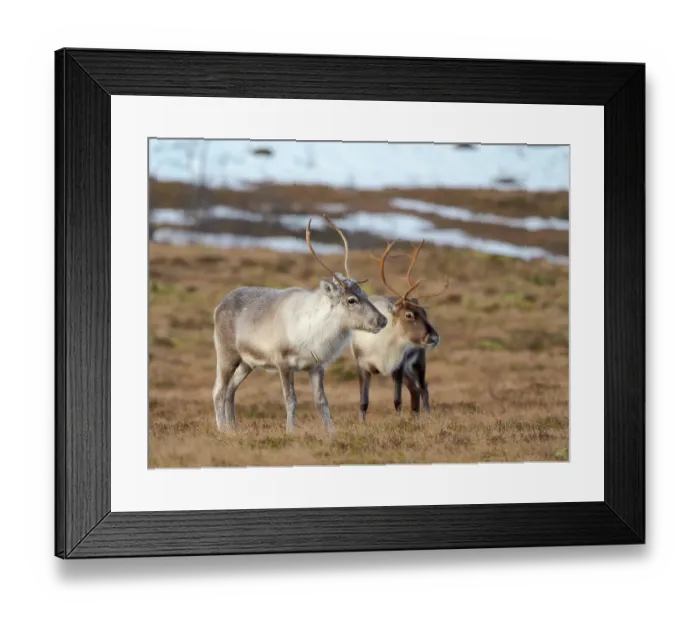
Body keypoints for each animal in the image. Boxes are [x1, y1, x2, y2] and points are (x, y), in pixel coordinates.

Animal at [212, 214, 388, 435]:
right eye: (351, 300)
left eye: (364, 294)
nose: (382, 320)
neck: (313, 330)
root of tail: (219, 306)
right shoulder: (283, 363)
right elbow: (290, 399)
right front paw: (290, 431)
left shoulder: (316, 366)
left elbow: (322, 402)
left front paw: (331, 433)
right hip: (227, 355)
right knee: (219, 390)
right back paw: (223, 429)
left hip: (247, 363)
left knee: (231, 390)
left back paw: (234, 428)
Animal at [350, 239, 448, 422]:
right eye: (409, 314)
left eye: (425, 313)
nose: (434, 337)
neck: (382, 345)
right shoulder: (362, 366)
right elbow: (363, 402)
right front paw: (362, 423)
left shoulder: (399, 367)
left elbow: (397, 400)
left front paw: (399, 421)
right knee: (415, 390)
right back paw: (415, 416)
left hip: (417, 363)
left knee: (423, 387)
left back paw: (427, 416)